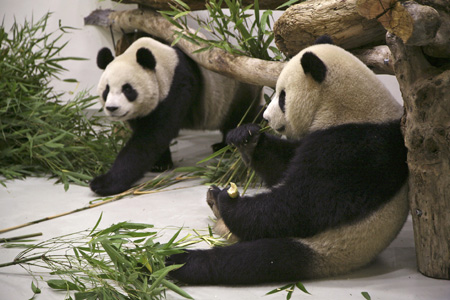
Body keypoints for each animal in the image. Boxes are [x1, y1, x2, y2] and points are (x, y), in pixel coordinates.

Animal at [90, 37, 262, 197]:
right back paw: (221, 145)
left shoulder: (179, 85)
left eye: (127, 89)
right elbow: (150, 134)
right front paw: (161, 164)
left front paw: (104, 183)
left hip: (238, 93)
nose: (112, 108)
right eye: (106, 90)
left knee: (242, 118)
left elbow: (151, 137)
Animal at [167, 37, 410, 284]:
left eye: (282, 96)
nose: (266, 118)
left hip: (327, 247)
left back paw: (178, 259)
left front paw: (227, 200)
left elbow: (302, 203)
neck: (351, 106)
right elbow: (283, 166)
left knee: (255, 259)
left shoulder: (353, 147)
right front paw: (247, 139)